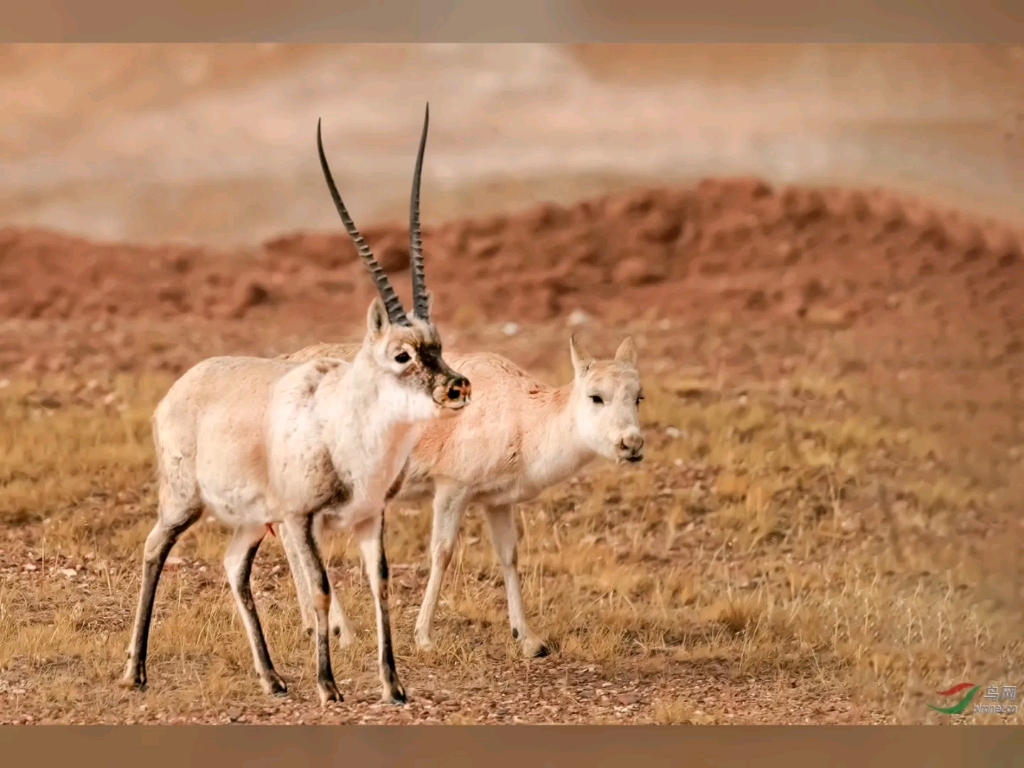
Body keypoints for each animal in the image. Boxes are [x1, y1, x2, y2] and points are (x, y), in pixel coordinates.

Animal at [120, 105, 471, 708]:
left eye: (438, 345)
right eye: (401, 354)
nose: (456, 387)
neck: (343, 422)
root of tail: (181, 386)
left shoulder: (367, 517)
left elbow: (379, 584)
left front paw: (393, 685)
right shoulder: (303, 519)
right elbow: (323, 588)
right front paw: (329, 686)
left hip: (254, 521)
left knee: (233, 567)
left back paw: (273, 678)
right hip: (186, 502)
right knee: (152, 549)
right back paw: (135, 671)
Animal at [280, 327, 643, 659]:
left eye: (639, 396)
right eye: (595, 396)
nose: (632, 443)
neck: (522, 419)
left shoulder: (498, 501)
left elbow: (509, 555)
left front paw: (529, 639)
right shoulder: (452, 487)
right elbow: (442, 551)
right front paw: (424, 637)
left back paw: (313, 624)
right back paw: (345, 632)